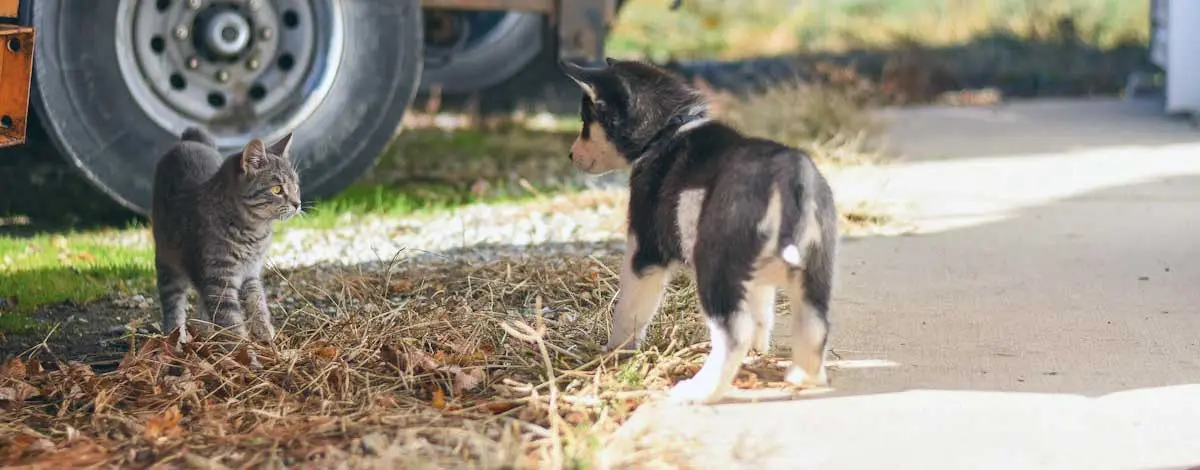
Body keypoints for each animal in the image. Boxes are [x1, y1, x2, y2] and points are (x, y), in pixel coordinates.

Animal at [150, 126, 302, 347]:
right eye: (277, 189)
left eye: (296, 186)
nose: (298, 203)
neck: (254, 231)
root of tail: (188, 141)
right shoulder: (218, 279)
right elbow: (230, 319)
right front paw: (242, 348)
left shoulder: (251, 272)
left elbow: (257, 302)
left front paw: (264, 331)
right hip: (167, 261)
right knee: (173, 303)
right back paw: (175, 337)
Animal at [559, 57, 835, 402]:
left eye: (586, 122)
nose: (571, 155)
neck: (668, 130)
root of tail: (787, 177)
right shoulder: (756, 281)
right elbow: (762, 315)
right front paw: (760, 353)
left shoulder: (644, 252)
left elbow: (629, 310)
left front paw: (616, 352)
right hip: (813, 273)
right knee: (813, 328)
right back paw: (803, 377)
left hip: (716, 267)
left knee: (734, 334)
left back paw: (700, 390)